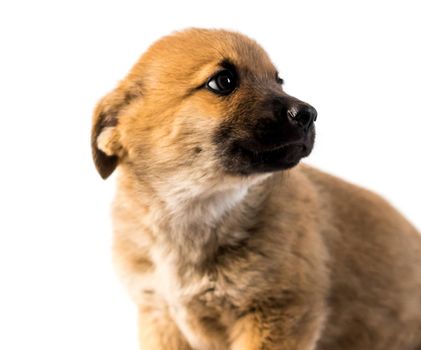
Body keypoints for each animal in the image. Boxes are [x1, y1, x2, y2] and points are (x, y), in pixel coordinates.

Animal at [91, 28, 420, 348]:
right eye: (223, 81)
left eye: (278, 81)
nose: (309, 114)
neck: (193, 211)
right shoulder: (160, 315)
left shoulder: (277, 311)